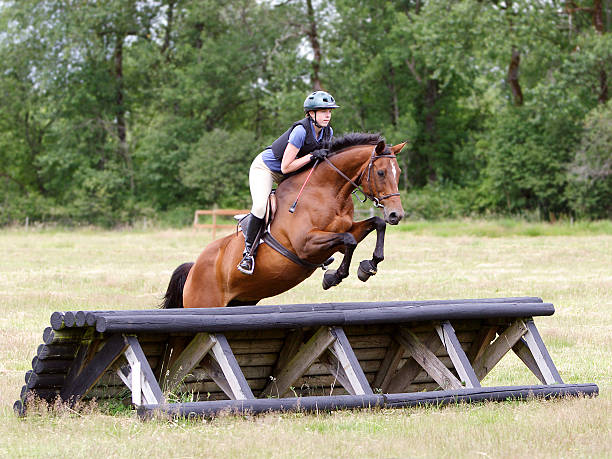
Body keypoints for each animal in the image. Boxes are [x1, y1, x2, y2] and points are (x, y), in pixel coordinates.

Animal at [163, 134, 406, 312]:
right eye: (381, 172)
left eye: (399, 173)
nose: (396, 215)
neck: (327, 191)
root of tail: (193, 268)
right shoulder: (306, 244)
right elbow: (349, 240)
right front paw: (333, 277)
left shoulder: (341, 235)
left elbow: (375, 224)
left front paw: (368, 266)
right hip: (205, 303)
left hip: (241, 300)